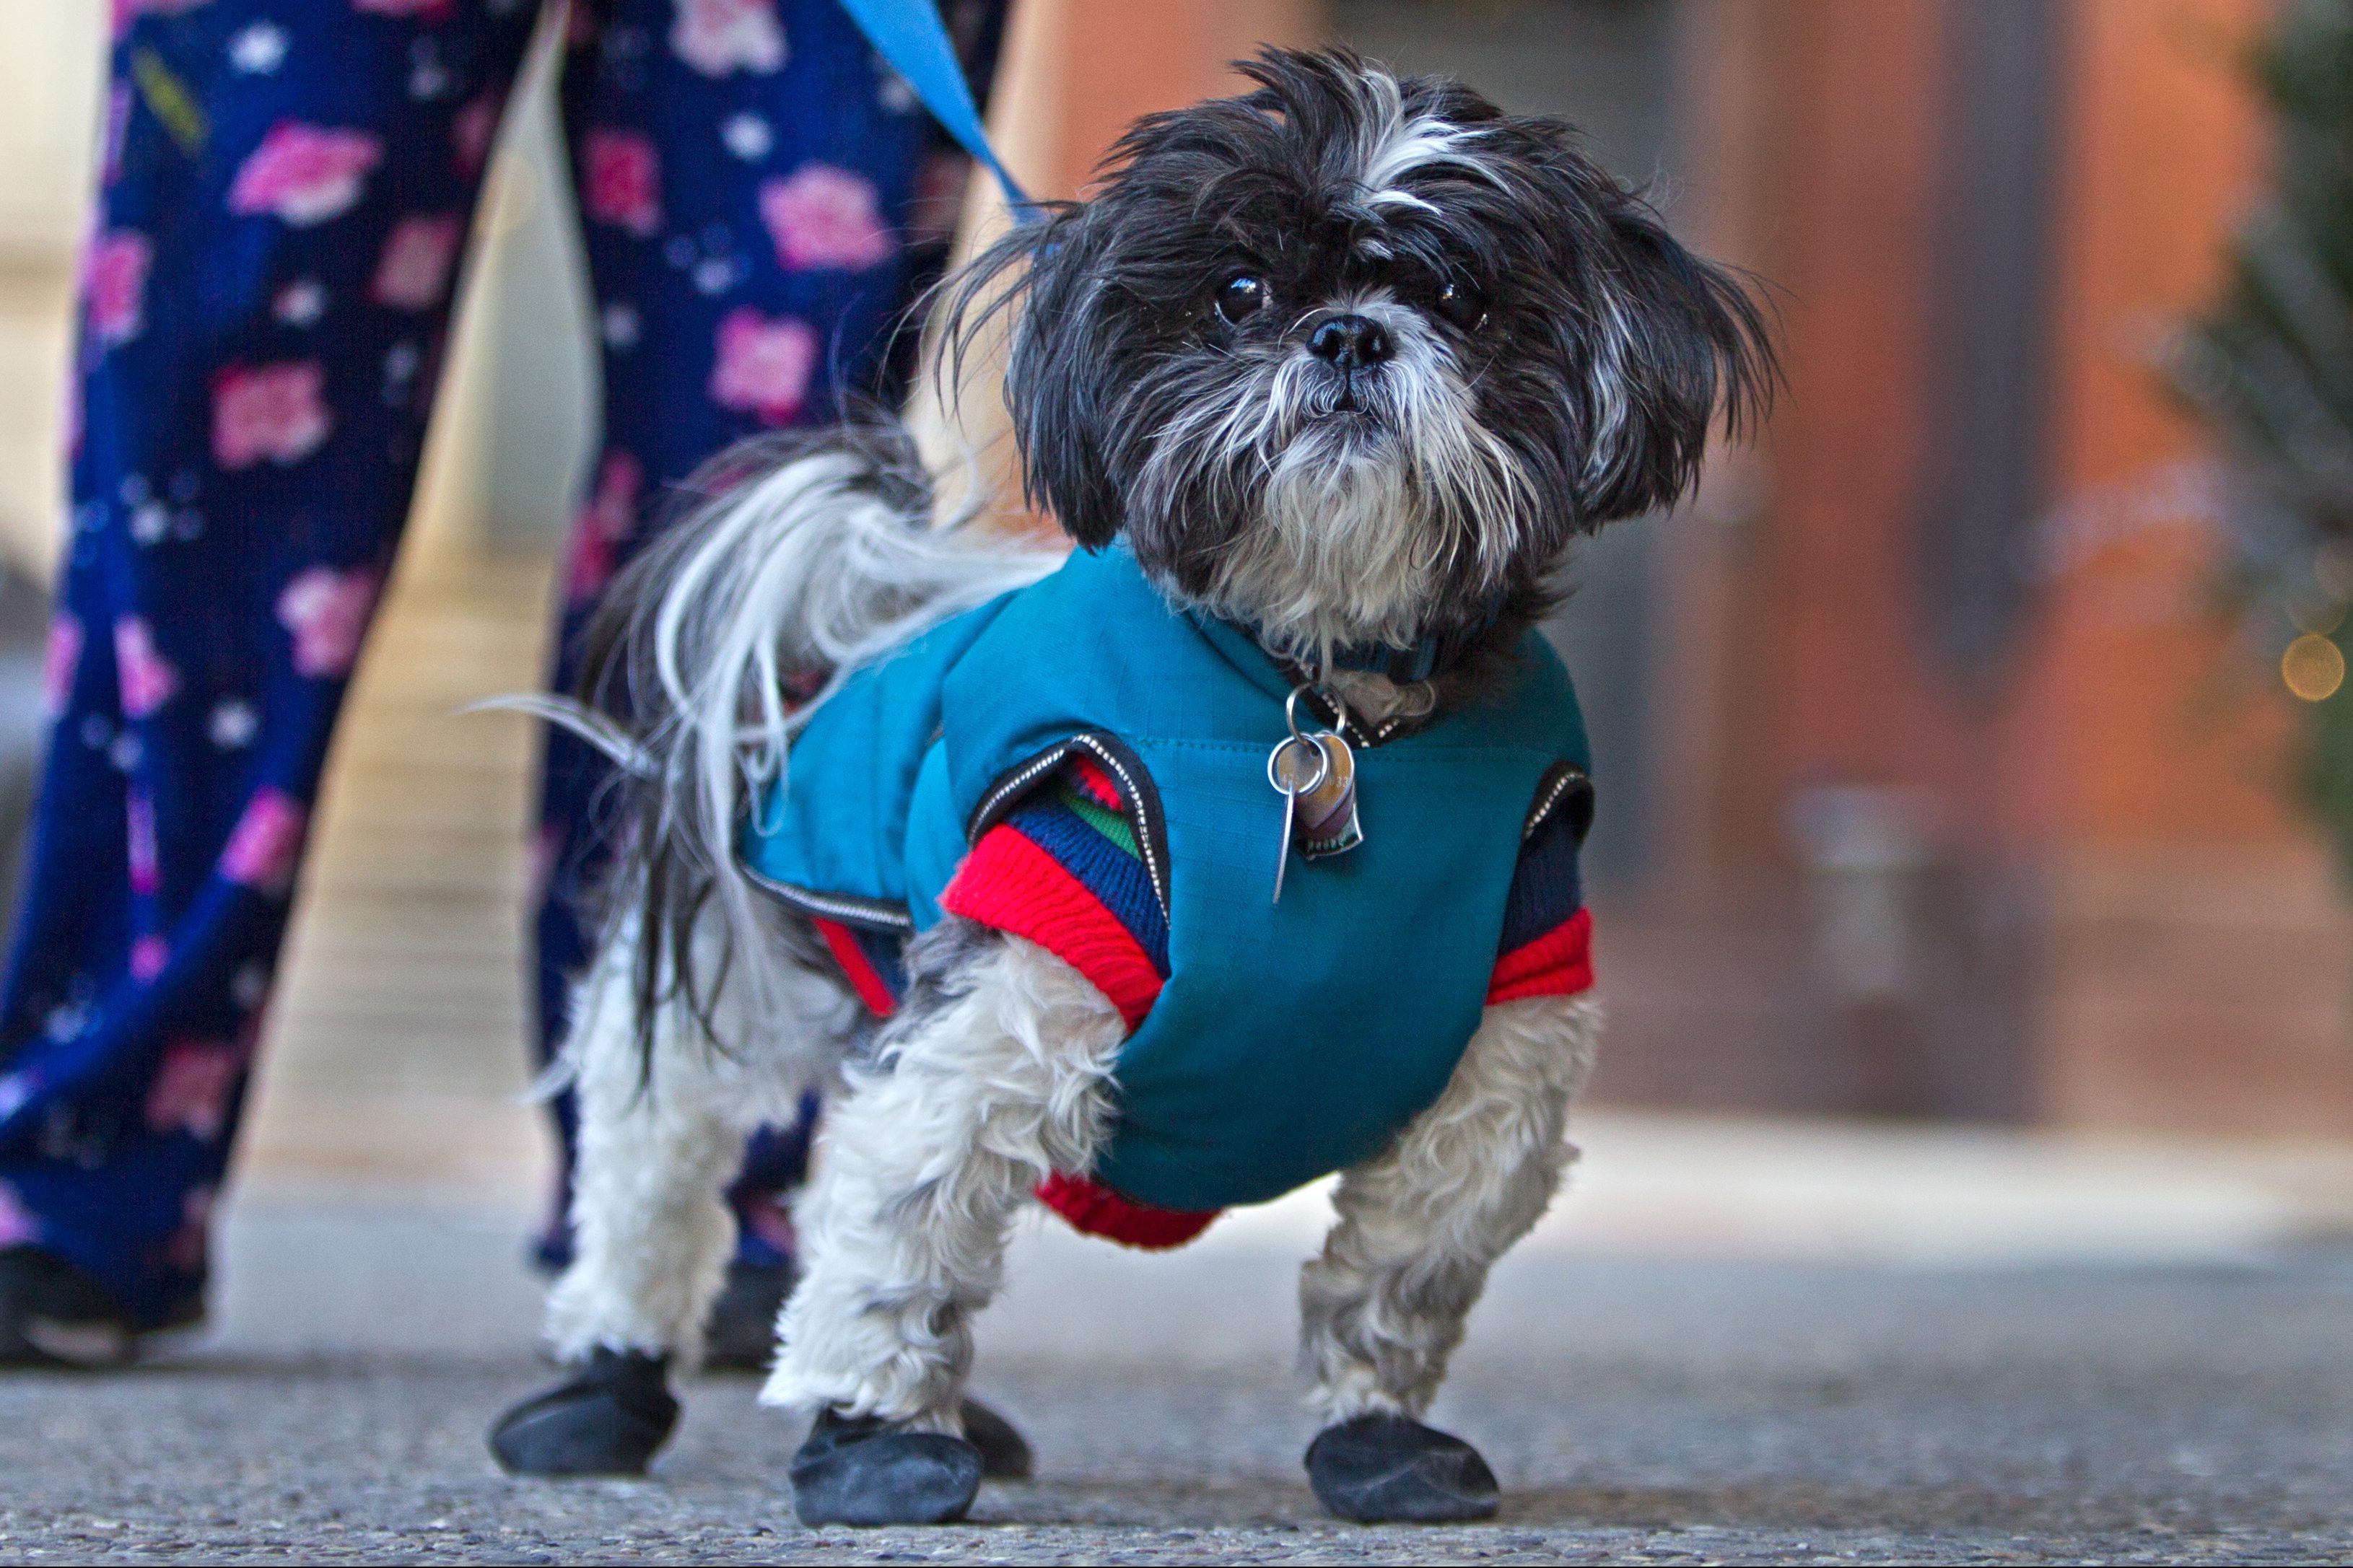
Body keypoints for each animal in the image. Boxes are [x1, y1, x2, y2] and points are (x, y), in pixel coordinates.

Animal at [492, 43, 1769, 1523]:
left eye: (1459, 298)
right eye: (1240, 294)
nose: (1347, 337)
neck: (1328, 694)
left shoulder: (1510, 1029)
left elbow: (1408, 1260)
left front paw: (1379, 1435)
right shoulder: (1020, 964)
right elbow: (901, 1221)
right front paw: (873, 1437)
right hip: (714, 986)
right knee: (650, 1179)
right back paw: (604, 1382)